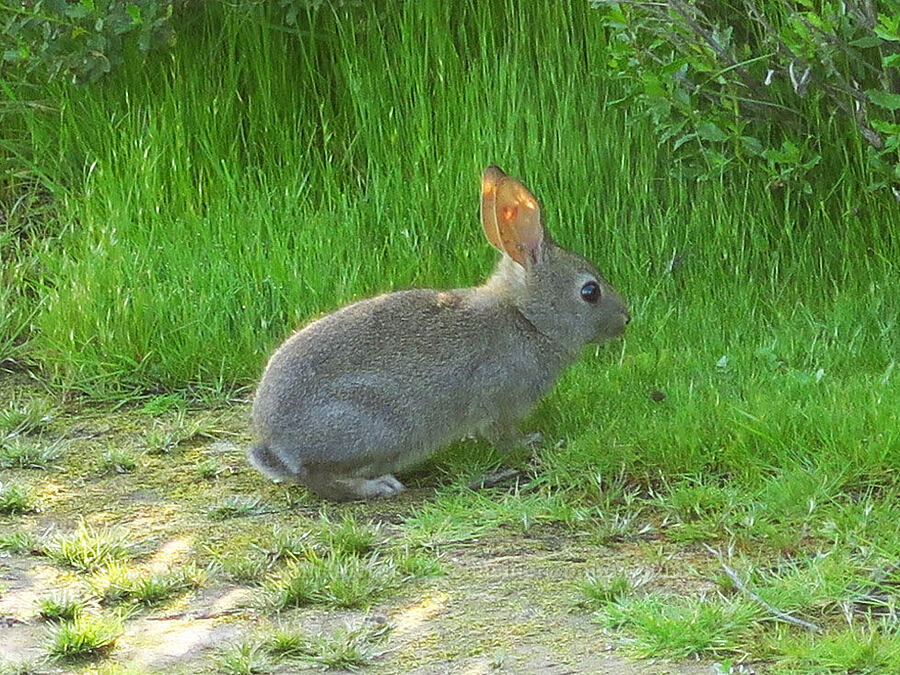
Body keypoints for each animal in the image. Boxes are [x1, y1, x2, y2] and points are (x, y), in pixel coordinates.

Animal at [244, 165, 624, 502]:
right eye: (590, 292)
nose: (626, 319)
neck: (527, 318)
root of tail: (276, 445)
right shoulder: (498, 397)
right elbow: (501, 435)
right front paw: (530, 442)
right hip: (377, 426)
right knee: (320, 479)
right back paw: (378, 486)